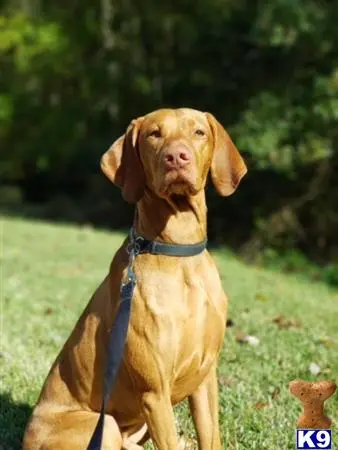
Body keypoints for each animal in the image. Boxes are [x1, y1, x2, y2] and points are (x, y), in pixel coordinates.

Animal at [23, 107, 246, 448]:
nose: (176, 157)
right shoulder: (154, 391)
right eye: (154, 134)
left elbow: (211, 438)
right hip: (105, 425)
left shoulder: (205, 378)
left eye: (198, 132)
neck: (179, 253)